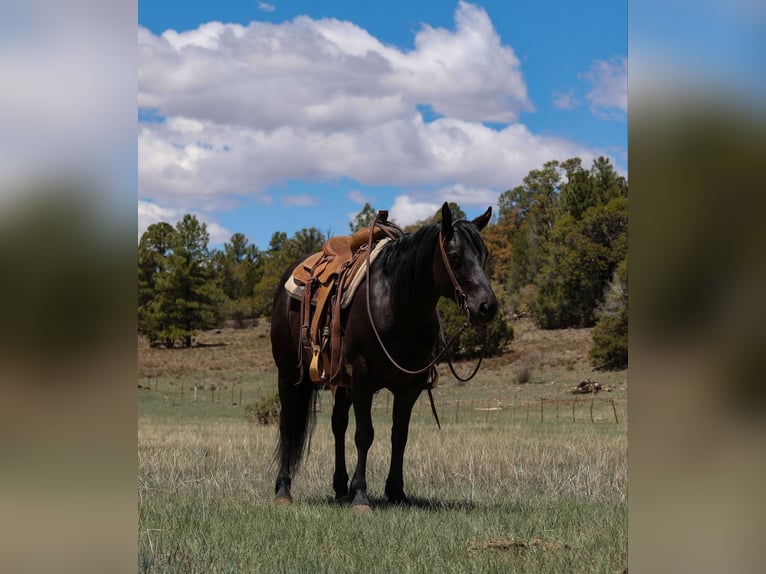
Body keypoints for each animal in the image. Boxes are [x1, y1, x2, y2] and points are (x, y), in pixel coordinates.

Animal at [270, 202, 498, 510]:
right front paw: (360, 495)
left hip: (341, 384)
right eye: (455, 256)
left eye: (485, 255)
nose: (487, 307)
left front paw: (396, 491)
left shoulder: (410, 386)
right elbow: (364, 434)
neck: (396, 302)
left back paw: (339, 487)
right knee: (288, 425)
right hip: (290, 375)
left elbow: (399, 435)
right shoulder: (363, 377)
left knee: (337, 425)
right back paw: (283, 490)